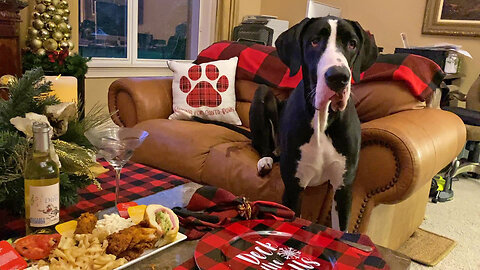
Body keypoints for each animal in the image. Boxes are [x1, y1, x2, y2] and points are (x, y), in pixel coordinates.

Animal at [251, 16, 378, 230]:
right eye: (314, 41)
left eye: (352, 44)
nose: (338, 77)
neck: (322, 120)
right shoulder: (294, 188)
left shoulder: (343, 188)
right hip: (261, 92)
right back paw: (266, 160)